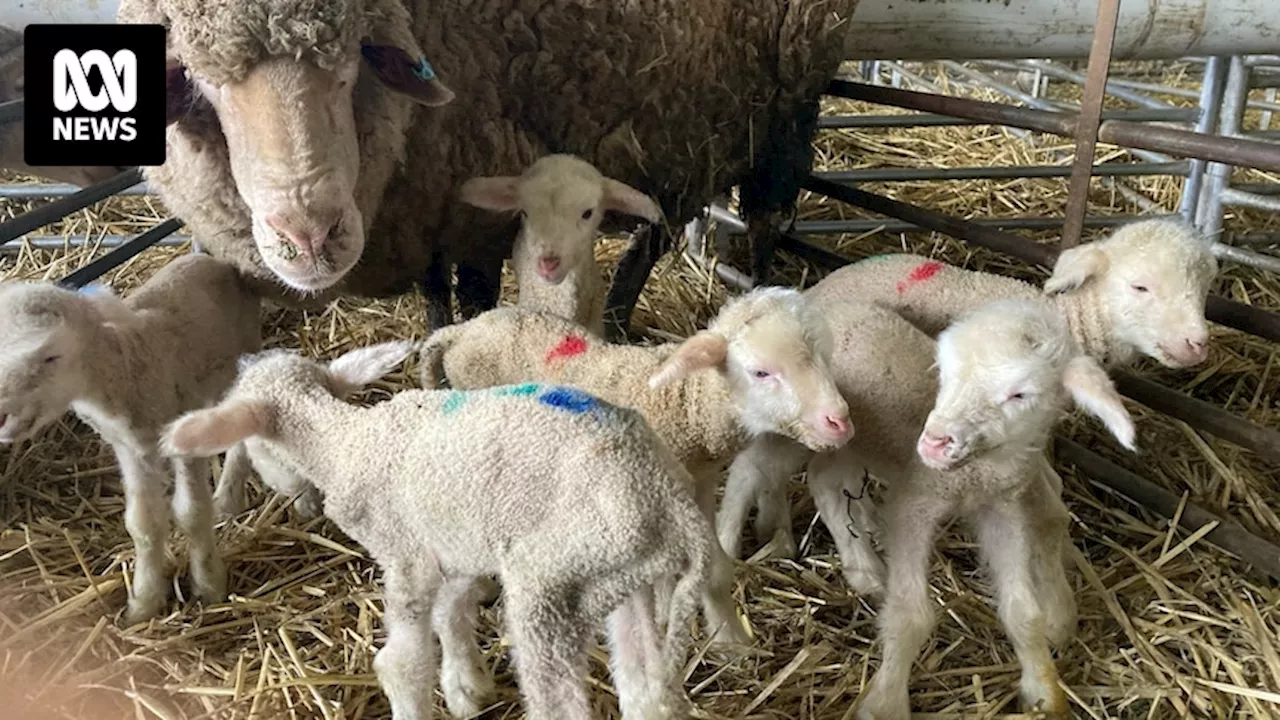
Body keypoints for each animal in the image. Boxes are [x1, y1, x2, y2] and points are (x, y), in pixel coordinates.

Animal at [0, 254, 261, 620]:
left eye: (51, 356)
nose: (1, 417)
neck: (127, 365)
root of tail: (206, 257)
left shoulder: (179, 434)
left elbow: (192, 513)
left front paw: (210, 586)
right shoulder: (128, 447)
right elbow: (142, 524)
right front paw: (144, 602)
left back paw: (227, 497)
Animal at [158, 340, 711, 717]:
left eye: (250, 443)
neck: (344, 442)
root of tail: (675, 507)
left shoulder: (406, 554)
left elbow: (402, 664)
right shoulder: (456, 540)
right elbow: (452, 609)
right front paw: (466, 685)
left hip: (554, 577)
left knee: (561, 698)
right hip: (619, 576)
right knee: (643, 687)